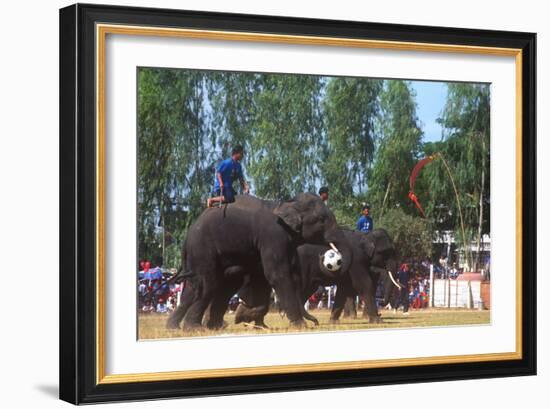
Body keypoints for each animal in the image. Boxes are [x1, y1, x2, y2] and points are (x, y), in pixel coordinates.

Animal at [179, 193, 356, 330]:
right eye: (322, 220)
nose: (316, 323)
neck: (287, 203)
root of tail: (188, 235)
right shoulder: (273, 236)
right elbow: (277, 275)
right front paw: (299, 325)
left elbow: (265, 278)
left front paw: (245, 316)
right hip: (202, 249)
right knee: (207, 283)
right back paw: (194, 328)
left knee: (220, 284)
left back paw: (213, 326)